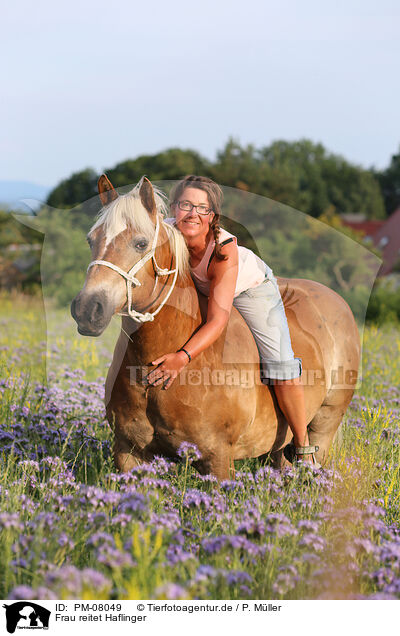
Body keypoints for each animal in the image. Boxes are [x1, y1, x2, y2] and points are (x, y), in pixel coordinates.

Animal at [70, 174, 360, 476]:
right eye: (91, 240)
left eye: (140, 243)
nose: (87, 309)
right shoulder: (128, 454)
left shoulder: (218, 458)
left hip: (324, 424)